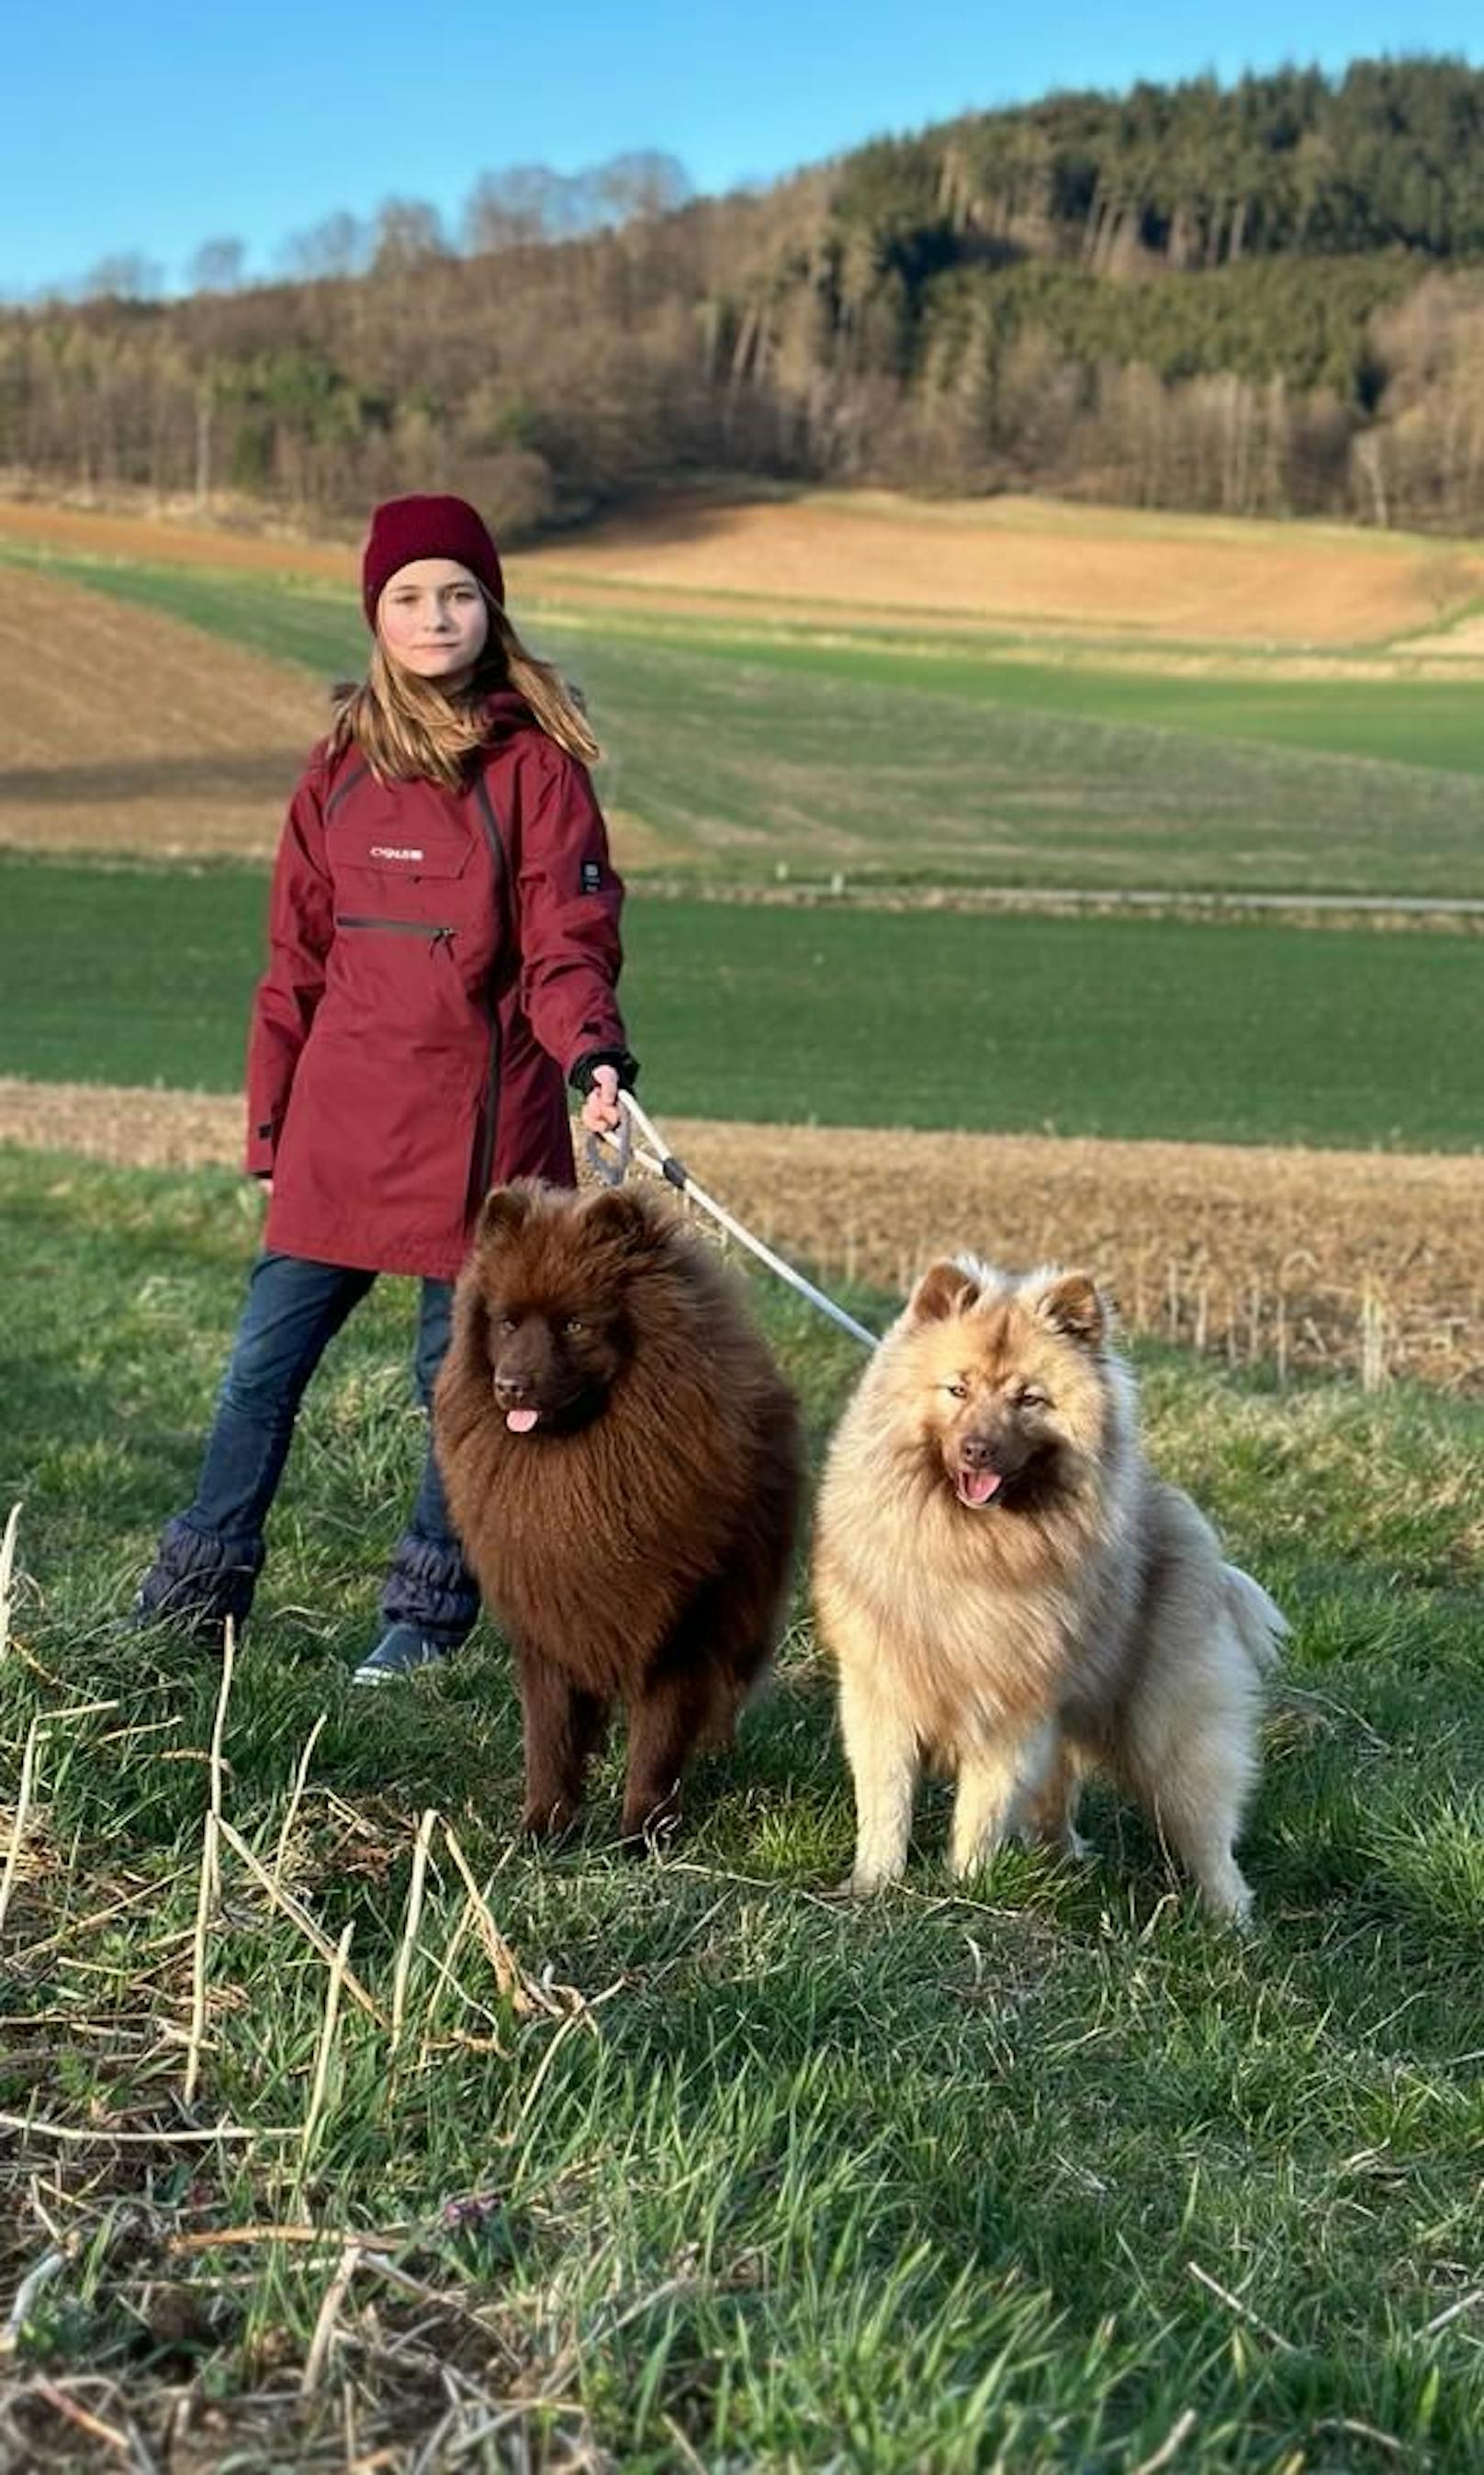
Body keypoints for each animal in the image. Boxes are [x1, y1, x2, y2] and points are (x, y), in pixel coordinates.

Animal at [433, 1177, 801, 1841]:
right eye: (507, 1323)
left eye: (575, 1324)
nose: (510, 1386)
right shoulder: (547, 1617)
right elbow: (550, 1733)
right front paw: (545, 1825)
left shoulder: (681, 1626)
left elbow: (657, 1739)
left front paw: (643, 1830)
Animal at [811, 1257, 1286, 1910]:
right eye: (957, 1390)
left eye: (1029, 1399)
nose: (976, 1449)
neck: (972, 1551)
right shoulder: (881, 1695)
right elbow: (886, 1802)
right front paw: (873, 1884)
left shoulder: (1010, 1713)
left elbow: (981, 1811)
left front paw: (964, 1887)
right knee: (1057, 1800)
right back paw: (1059, 1863)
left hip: (1170, 1734)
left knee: (1206, 1832)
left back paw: (1228, 1918)